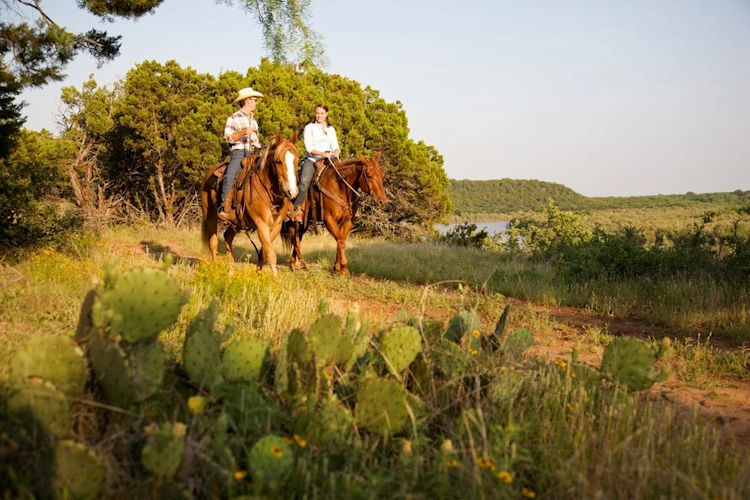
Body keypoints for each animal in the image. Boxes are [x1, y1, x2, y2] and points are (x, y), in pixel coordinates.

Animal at [204, 131, 304, 276]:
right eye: (278, 161)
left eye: (296, 160)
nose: (292, 192)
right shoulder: (261, 224)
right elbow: (271, 255)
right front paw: (274, 279)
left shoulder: (276, 226)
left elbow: (264, 251)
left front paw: (259, 275)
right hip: (210, 216)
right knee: (213, 242)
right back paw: (215, 271)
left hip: (236, 222)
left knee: (227, 237)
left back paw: (231, 271)